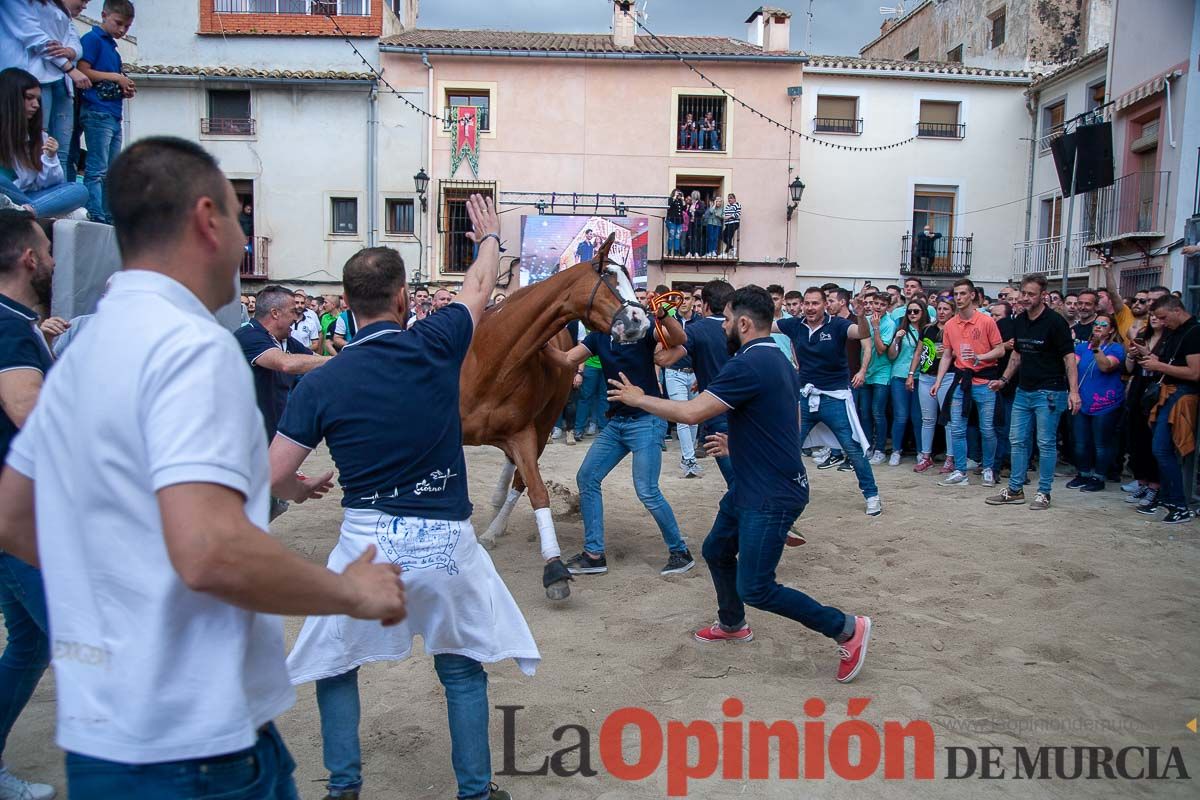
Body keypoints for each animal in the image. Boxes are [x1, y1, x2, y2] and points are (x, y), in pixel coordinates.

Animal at [458, 232, 648, 599]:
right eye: (608, 276)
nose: (641, 321)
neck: (490, 359)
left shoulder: (524, 434)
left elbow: (535, 491)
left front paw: (555, 570)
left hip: (544, 426)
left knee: (517, 478)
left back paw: (494, 527)